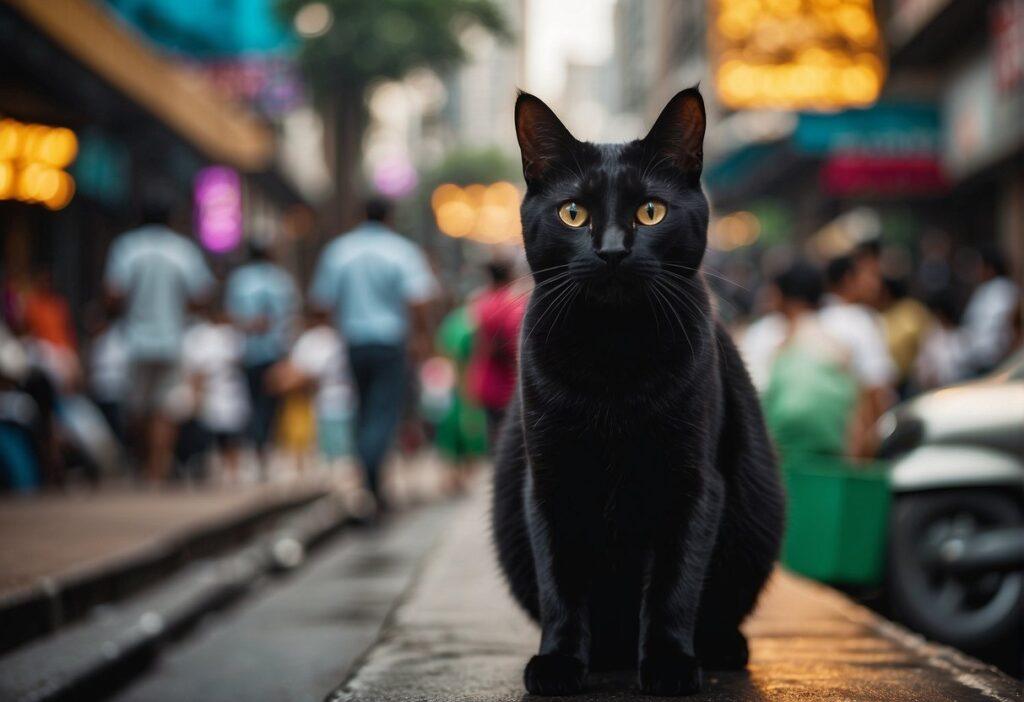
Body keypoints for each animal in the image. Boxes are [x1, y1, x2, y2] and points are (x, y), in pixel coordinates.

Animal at [491, 89, 786, 699]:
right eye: (572, 213)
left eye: (651, 211)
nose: (611, 251)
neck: (615, 360)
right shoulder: (548, 481)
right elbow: (560, 583)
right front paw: (558, 662)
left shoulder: (695, 482)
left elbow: (674, 584)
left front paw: (671, 663)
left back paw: (721, 647)